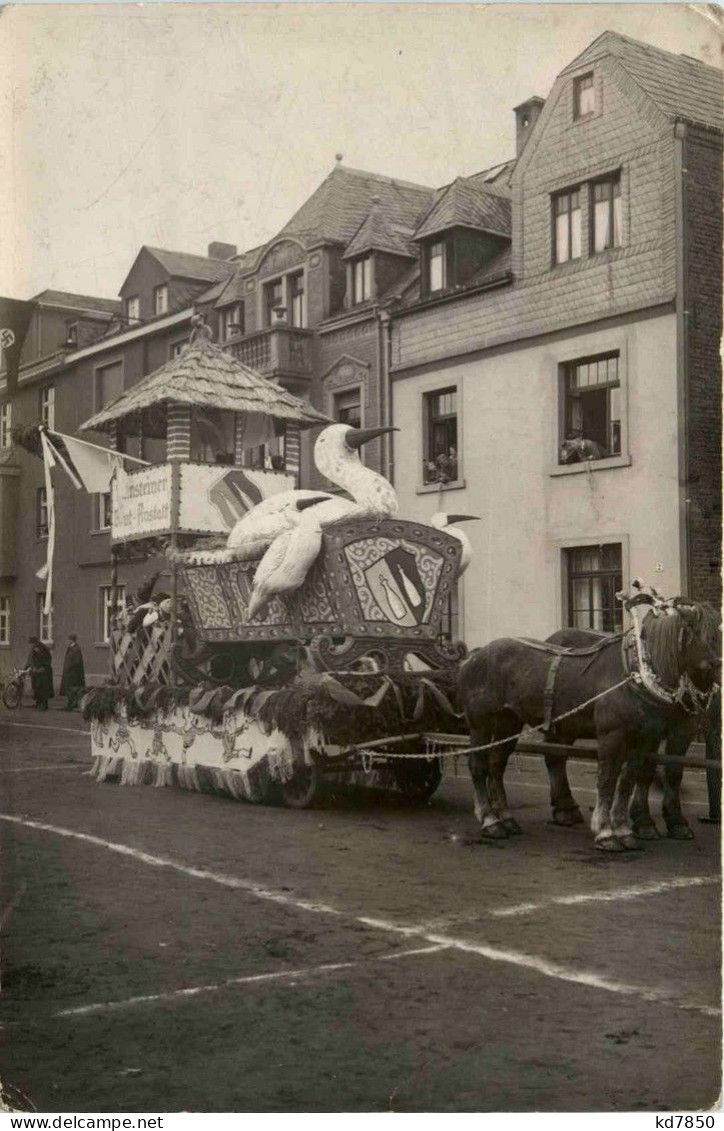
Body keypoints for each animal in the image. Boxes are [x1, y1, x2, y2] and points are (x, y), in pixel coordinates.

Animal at [457, 601, 719, 850]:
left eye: (718, 631)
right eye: (701, 633)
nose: (717, 670)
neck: (635, 674)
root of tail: (474, 657)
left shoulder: (642, 739)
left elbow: (628, 781)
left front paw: (623, 830)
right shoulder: (612, 736)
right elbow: (607, 781)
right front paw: (606, 833)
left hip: (508, 722)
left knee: (498, 764)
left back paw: (508, 819)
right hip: (480, 724)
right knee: (478, 766)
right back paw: (490, 821)